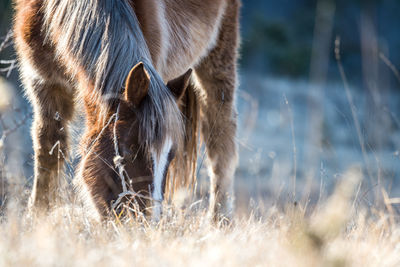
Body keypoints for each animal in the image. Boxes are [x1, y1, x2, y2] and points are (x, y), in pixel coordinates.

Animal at [13, 0, 241, 222]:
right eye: (126, 151)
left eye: (171, 155)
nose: (147, 222)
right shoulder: (43, 81)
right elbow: (49, 149)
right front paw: (38, 215)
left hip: (219, 54)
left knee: (221, 142)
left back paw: (220, 219)